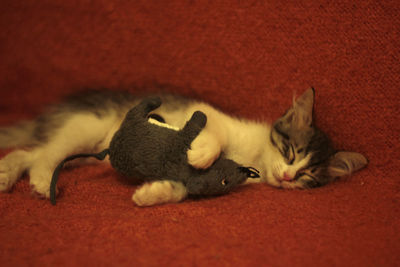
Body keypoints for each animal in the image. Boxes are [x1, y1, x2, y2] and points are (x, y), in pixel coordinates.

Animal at [0, 89, 368, 206]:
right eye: (291, 152)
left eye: (308, 176)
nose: (289, 177)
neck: (255, 158)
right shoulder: (210, 114)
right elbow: (212, 131)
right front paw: (201, 153)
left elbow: (183, 188)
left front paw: (152, 193)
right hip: (86, 127)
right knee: (43, 153)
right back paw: (39, 179)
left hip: (86, 152)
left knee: (29, 152)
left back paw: (7, 174)